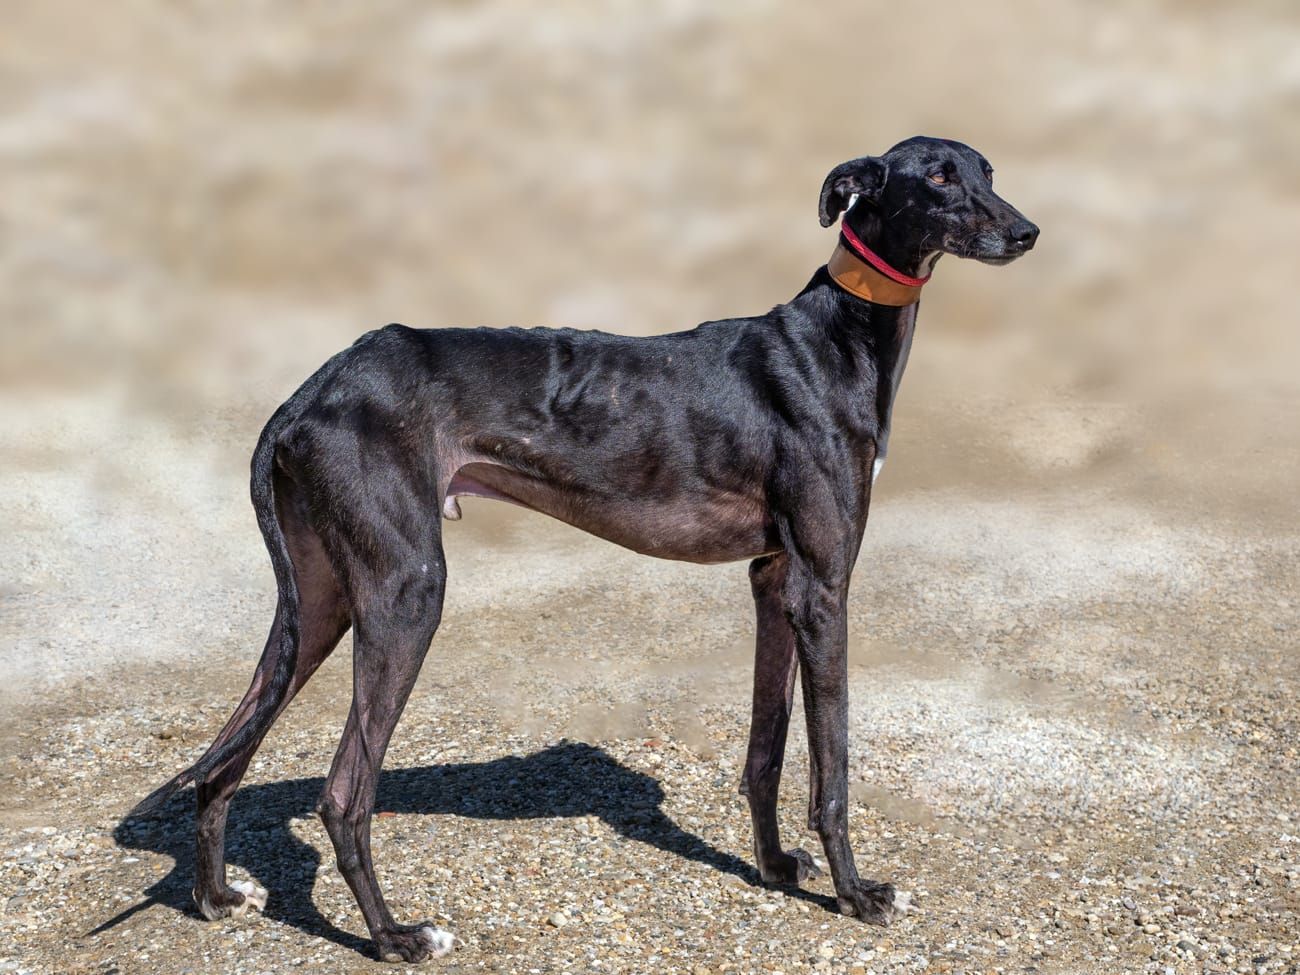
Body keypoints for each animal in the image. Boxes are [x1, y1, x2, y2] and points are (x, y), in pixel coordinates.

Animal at [132, 136, 1038, 962]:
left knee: (222, 758)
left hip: (320, 599)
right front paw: (855, 893)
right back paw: (393, 935)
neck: (840, 337)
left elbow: (767, 747)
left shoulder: (774, 575)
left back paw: (216, 896)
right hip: (406, 591)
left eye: (988, 169)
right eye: (938, 176)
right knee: (344, 790)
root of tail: (306, 395)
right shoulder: (823, 586)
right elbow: (833, 767)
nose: (1028, 233)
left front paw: (777, 867)